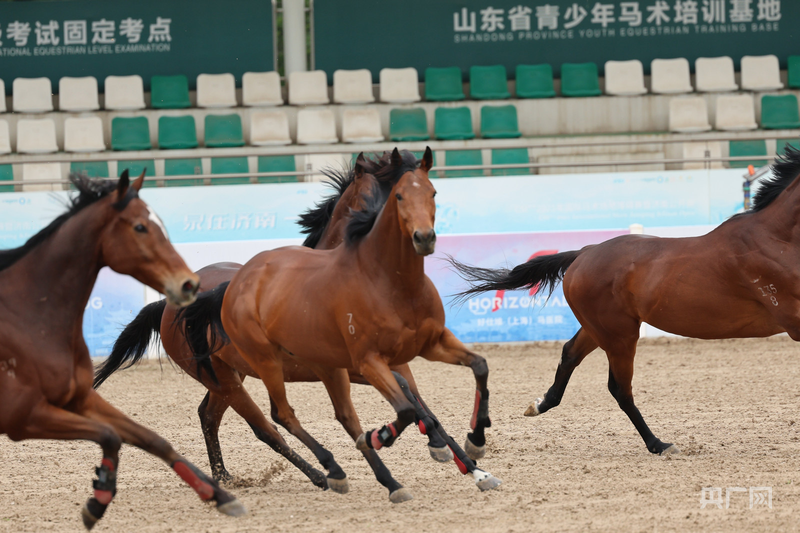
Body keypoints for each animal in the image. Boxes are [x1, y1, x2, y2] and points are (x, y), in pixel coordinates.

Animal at [0, 171, 245, 530]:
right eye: (140, 227)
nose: (187, 284)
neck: (31, 316)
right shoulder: (25, 416)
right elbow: (110, 436)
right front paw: (98, 497)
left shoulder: (78, 399)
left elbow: (151, 439)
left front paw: (219, 496)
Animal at [94, 151, 491, 501]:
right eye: (376, 195)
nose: (417, 236)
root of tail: (168, 305)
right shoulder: (353, 366)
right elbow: (406, 404)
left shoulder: (390, 363)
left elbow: (423, 406)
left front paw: (468, 463)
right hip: (229, 380)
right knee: (266, 426)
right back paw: (321, 473)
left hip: (228, 375)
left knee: (209, 415)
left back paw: (224, 476)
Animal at [449, 145, 800, 457]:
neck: (778, 238)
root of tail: (584, 253)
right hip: (619, 336)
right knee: (620, 388)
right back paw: (659, 444)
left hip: (599, 329)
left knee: (570, 354)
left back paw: (539, 405)